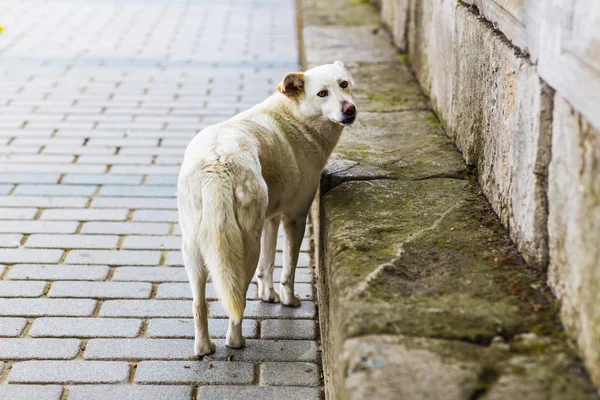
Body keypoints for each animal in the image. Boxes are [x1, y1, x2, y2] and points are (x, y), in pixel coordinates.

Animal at [178, 61, 356, 354]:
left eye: (344, 84)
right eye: (322, 93)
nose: (349, 109)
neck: (296, 119)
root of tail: (217, 163)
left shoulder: (269, 220)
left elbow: (268, 263)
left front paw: (267, 295)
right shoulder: (295, 218)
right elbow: (288, 269)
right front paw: (287, 299)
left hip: (194, 249)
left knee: (199, 303)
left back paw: (204, 348)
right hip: (243, 248)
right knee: (236, 300)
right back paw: (236, 341)